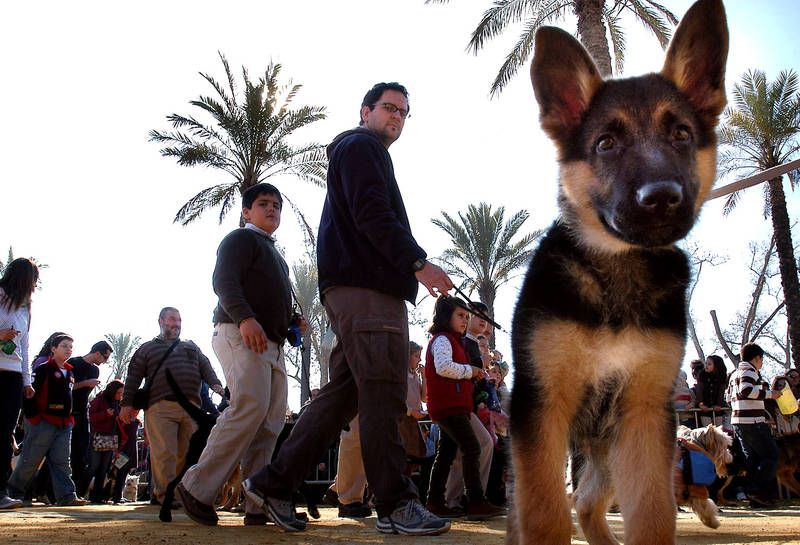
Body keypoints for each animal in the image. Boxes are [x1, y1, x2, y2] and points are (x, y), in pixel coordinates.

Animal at [508, 0, 729, 543]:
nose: (662, 198)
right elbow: (544, 515)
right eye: (606, 143)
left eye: (681, 134)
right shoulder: (540, 411)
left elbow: (653, 513)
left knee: (588, 504)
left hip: (607, 453)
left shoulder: (645, 420)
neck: (616, 268)